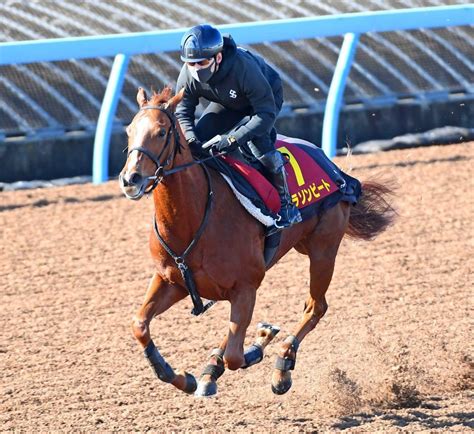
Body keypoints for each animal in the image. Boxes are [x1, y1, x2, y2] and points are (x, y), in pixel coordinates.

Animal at [118, 87, 396, 396]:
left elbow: (236, 356)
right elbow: (139, 325)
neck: (192, 220)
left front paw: (260, 344)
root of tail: (335, 169)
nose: (130, 179)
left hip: (323, 249)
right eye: (129, 130)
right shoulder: (172, 281)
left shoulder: (246, 287)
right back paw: (213, 370)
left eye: (162, 131)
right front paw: (181, 376)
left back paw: (282, 365)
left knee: (315, 307)